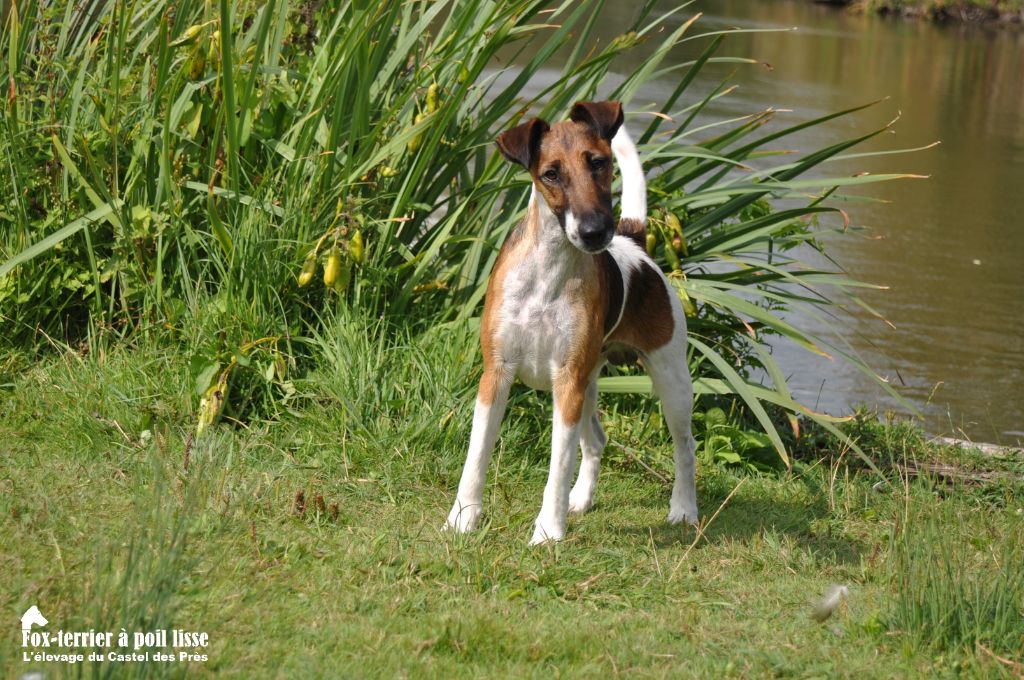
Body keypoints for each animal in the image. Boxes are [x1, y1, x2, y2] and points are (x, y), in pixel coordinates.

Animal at [446, 100, 696, 544]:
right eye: (551, 174)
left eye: (598, 163)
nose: (595, 231)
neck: (546, 273)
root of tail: (634, 241)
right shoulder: (497, 375)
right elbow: (476, 457)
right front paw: (462, 519)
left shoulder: (567, 383)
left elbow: (557, 469)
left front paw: (548, 531)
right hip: (589, 384)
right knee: (596, 440)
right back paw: (581, 499)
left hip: (669, 381)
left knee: (685, 447)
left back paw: (684, 509)